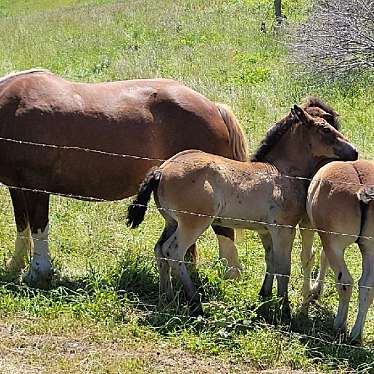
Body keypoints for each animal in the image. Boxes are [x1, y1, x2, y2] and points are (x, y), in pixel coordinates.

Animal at [0, 68, 248, 288]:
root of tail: (214, 108)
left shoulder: (35, 187)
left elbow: (39, 228)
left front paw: (37, 273)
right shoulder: (17, 187)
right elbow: (22, 225)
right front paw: (15, 266)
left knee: (225, 235)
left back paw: (230, 278)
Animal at [127, 104, 358, 316]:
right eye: (325, 129)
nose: (354, 151)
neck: (282, 172)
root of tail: (161, 170)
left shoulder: (266, 231)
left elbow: (271, 261)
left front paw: (264, 296)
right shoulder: (284, 229)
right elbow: (284, 267)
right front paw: (284, 310)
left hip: (172, 222)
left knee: (159, 250)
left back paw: (166, 295)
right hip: (193, 223)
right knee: (173, 251)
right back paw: (195, 302)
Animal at [304, 159, 374, 344]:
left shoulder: (323, 235)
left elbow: (314, 257)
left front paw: (313, 291)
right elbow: (322, 257)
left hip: (334, 245)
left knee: (345, 282)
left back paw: (339, 324)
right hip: (371, 249)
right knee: (367, 286)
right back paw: (356, 333)